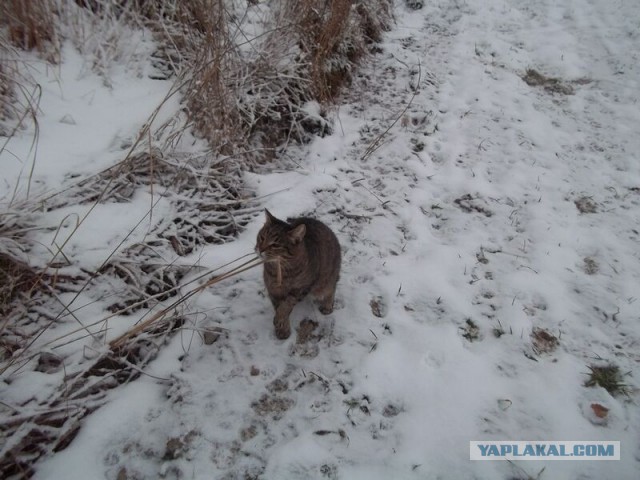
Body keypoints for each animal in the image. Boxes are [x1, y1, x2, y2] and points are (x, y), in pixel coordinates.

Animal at [258, 209, 342, 338]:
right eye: (262, 237)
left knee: (331, 288)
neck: (280, 270)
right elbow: (278, 307)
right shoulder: (273, 290)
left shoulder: (301, 289)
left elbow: (286, 306)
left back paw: (327, 306)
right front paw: (282, 329)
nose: (260, 249)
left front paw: (280, 320)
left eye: (275, 245)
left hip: (325, 281)